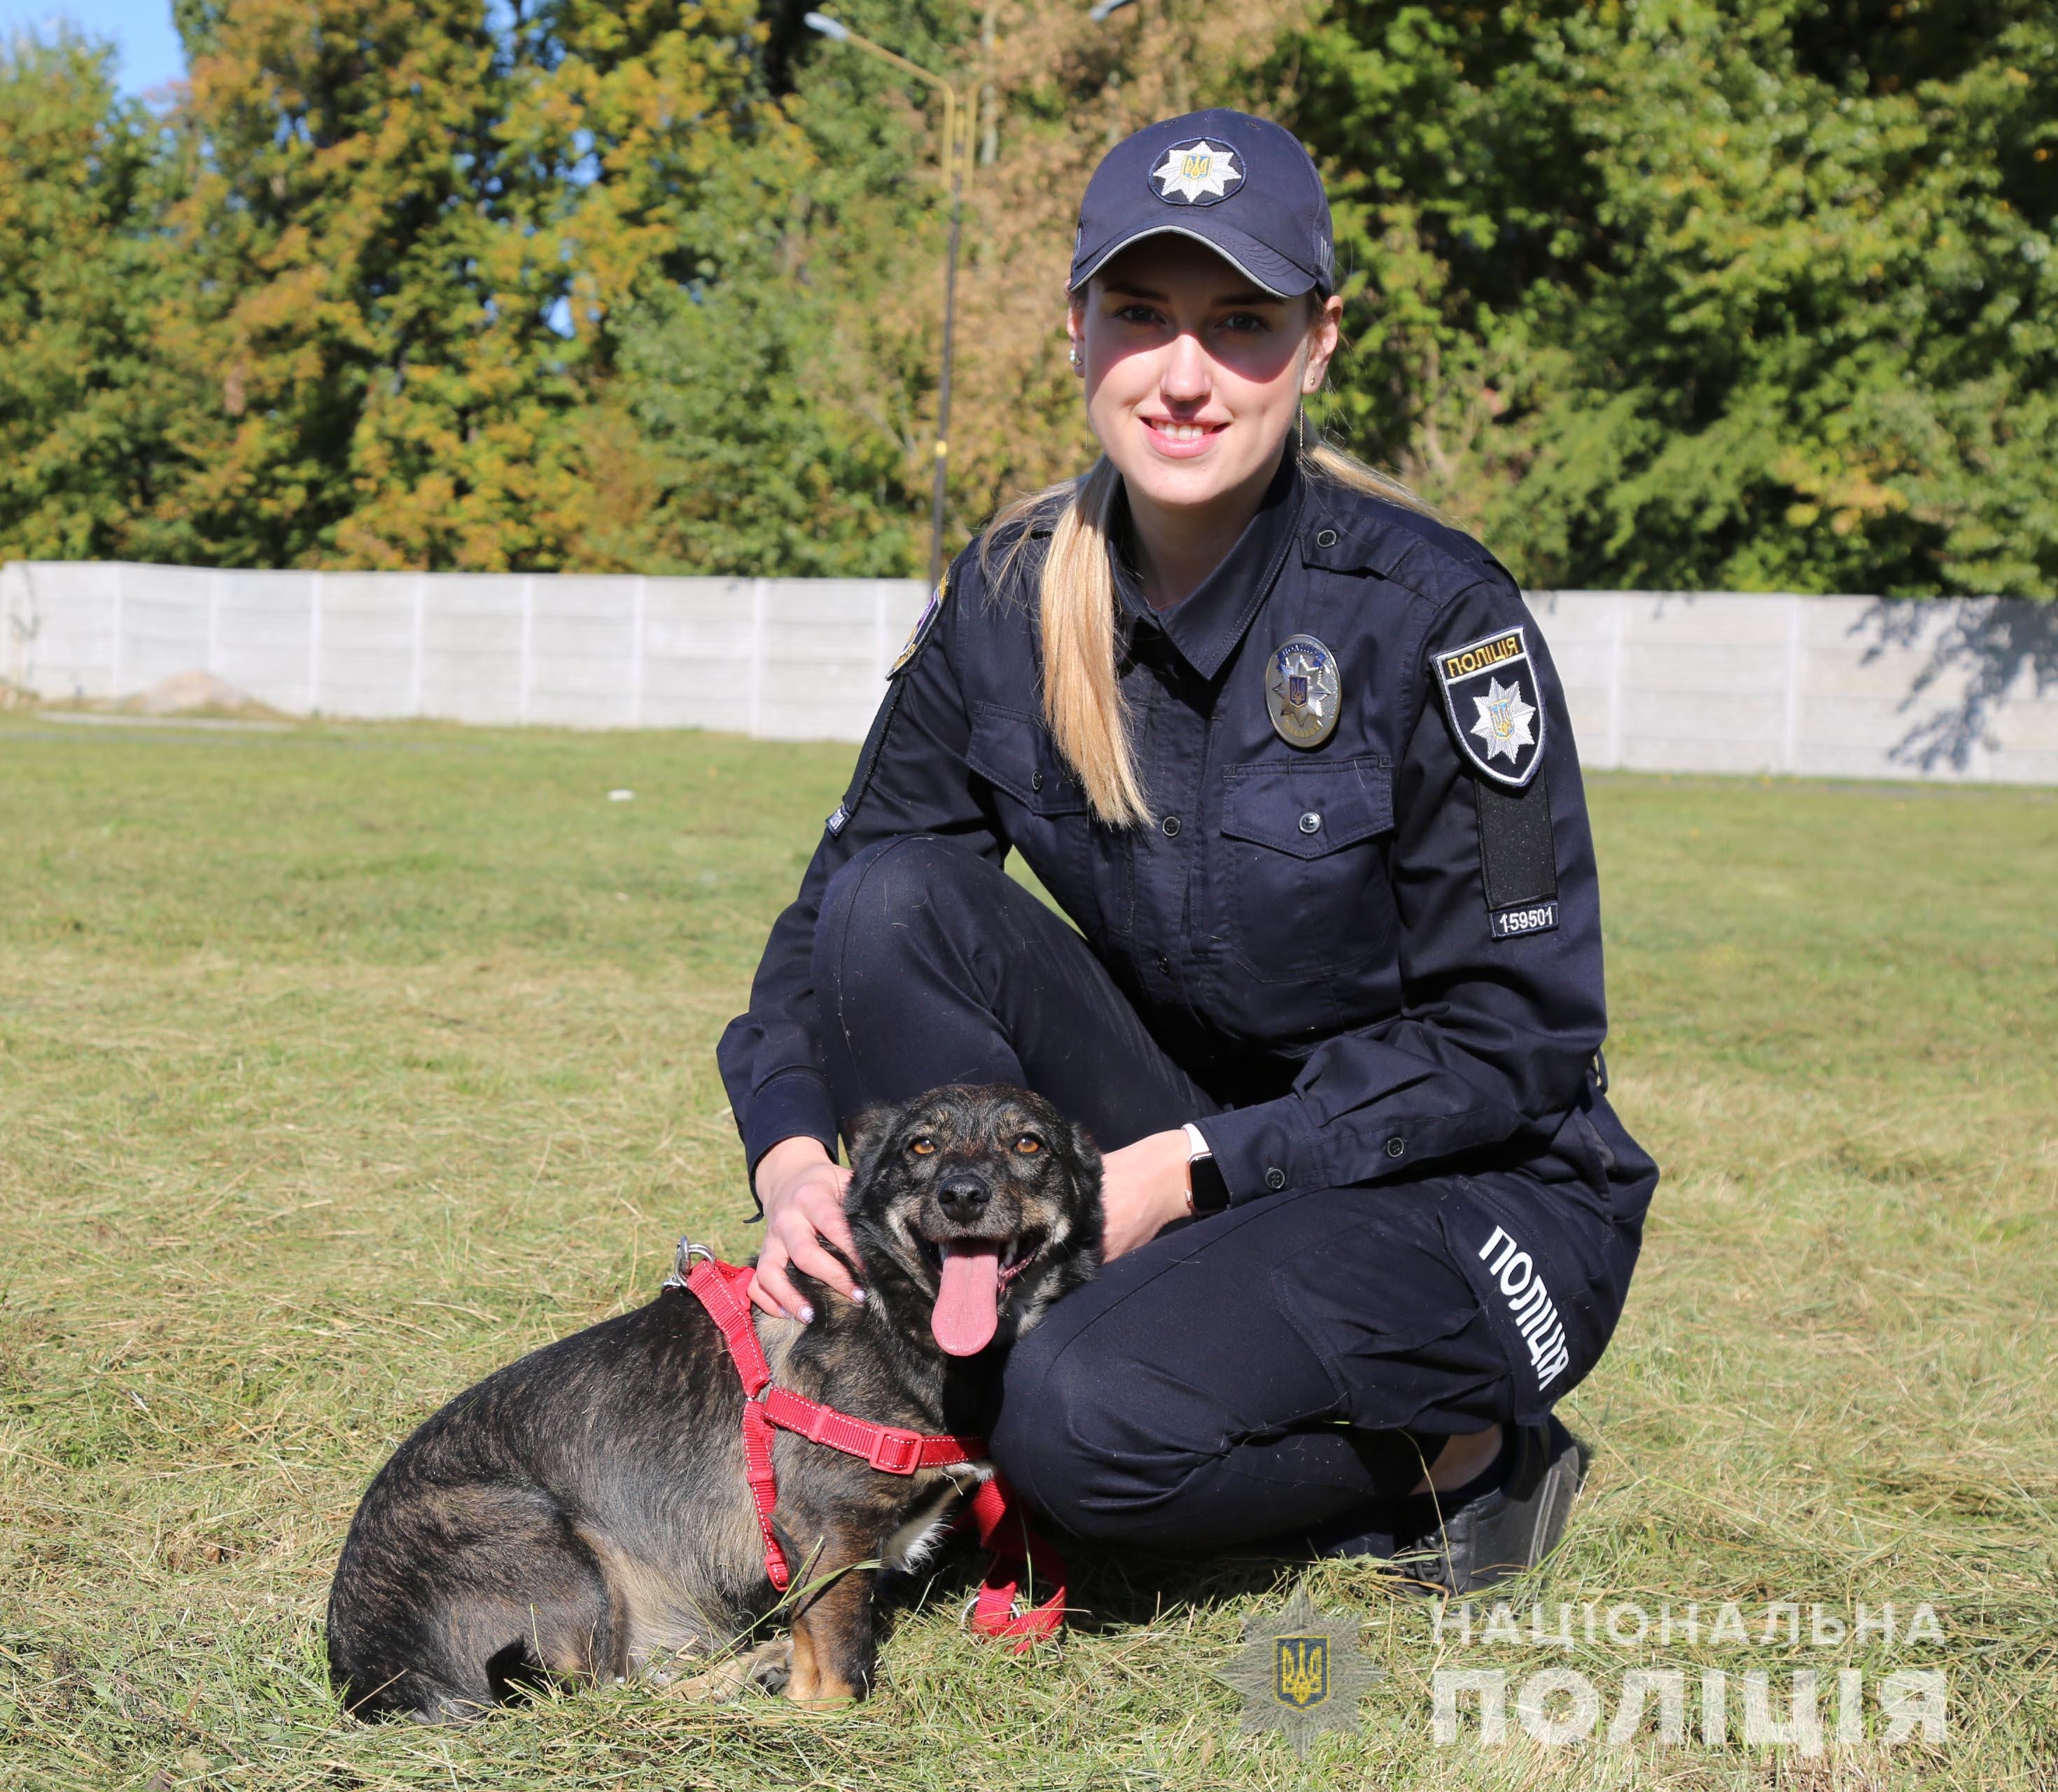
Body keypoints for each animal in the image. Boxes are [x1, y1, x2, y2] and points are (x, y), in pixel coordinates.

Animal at [321, 1086, 1102, 1720]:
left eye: (1029, 1143)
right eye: (922, 1146)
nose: (962, 1195)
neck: (894, 1310)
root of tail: (373, 1677)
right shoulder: (828, 1527)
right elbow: (839, 1676)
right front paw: (818, 1710)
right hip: (546, 1544)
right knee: (604, 1698)